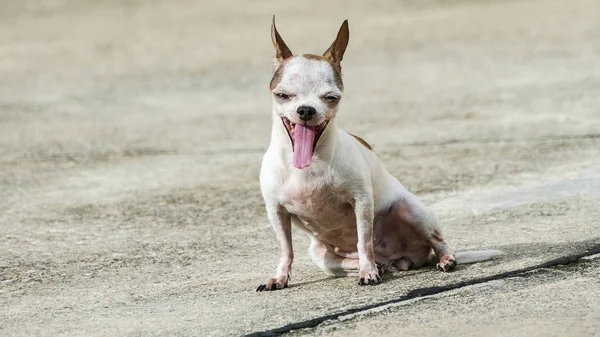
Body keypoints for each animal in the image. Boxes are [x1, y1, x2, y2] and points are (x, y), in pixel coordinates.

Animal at [255, 18, 500, 290]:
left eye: (331, 98)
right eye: (282, 95)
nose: (306, 110)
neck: (311, 164)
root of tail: (401, 257)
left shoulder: (362, 202)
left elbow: (364, 241)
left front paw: (368, 272)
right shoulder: (276, 212)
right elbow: (286, 249)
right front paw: (280, 277)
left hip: (413, 211)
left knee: (439, 243)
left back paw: (444, 260)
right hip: (321, 255)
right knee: (347, 260)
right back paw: (379, 266)